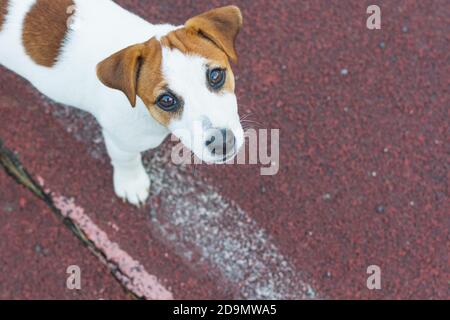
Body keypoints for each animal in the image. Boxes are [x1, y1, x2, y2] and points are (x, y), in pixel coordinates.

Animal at [0, 0, 244, 205]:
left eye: (215, 75)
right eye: (166, 100)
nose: (222, 142)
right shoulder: (120, 140)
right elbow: (126, 160)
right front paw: (131, 184)